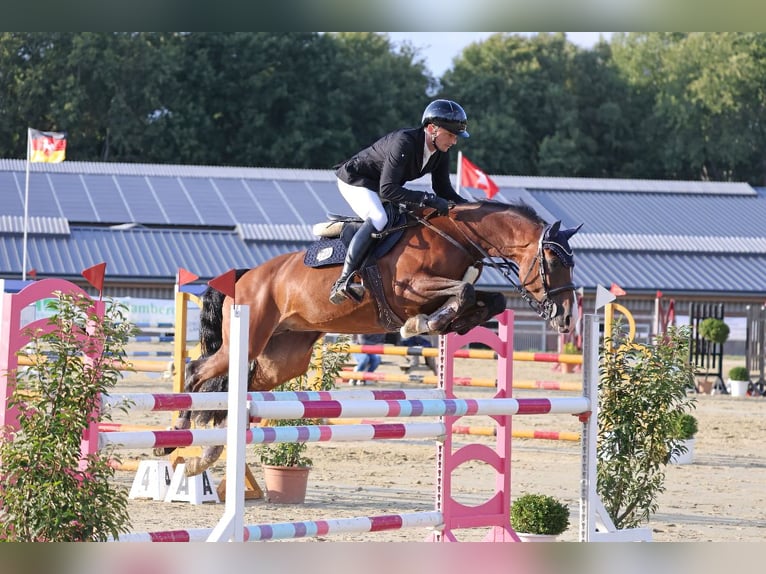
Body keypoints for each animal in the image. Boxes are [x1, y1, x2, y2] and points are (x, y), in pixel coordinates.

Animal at [166, 200, 583, 475]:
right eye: (554, 261)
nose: (566, 315)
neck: (455, 236)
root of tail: (245, 274)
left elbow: (487, 298)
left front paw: (445, 324)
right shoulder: (410, 288)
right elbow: (461, 293)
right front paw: (420, 324)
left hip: (285, 357)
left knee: (243, 384)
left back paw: (207, 453)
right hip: (249, 340)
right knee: (196, 371)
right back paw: (176, 438)